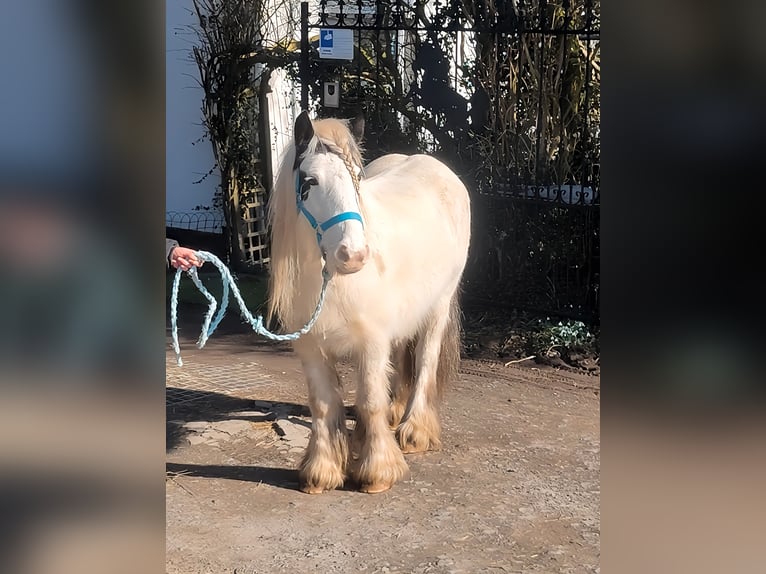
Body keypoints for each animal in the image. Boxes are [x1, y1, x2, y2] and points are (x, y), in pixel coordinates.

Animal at [268, 112, 474, 496]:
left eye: (357, 179)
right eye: (310, 181)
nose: (353, 255)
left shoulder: (372, 342)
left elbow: (370, 401)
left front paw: (378, 472)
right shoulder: (311, 347)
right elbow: (323, 404)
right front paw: (321, 472)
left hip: (439, 305)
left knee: (425, 360)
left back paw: (414, 431)